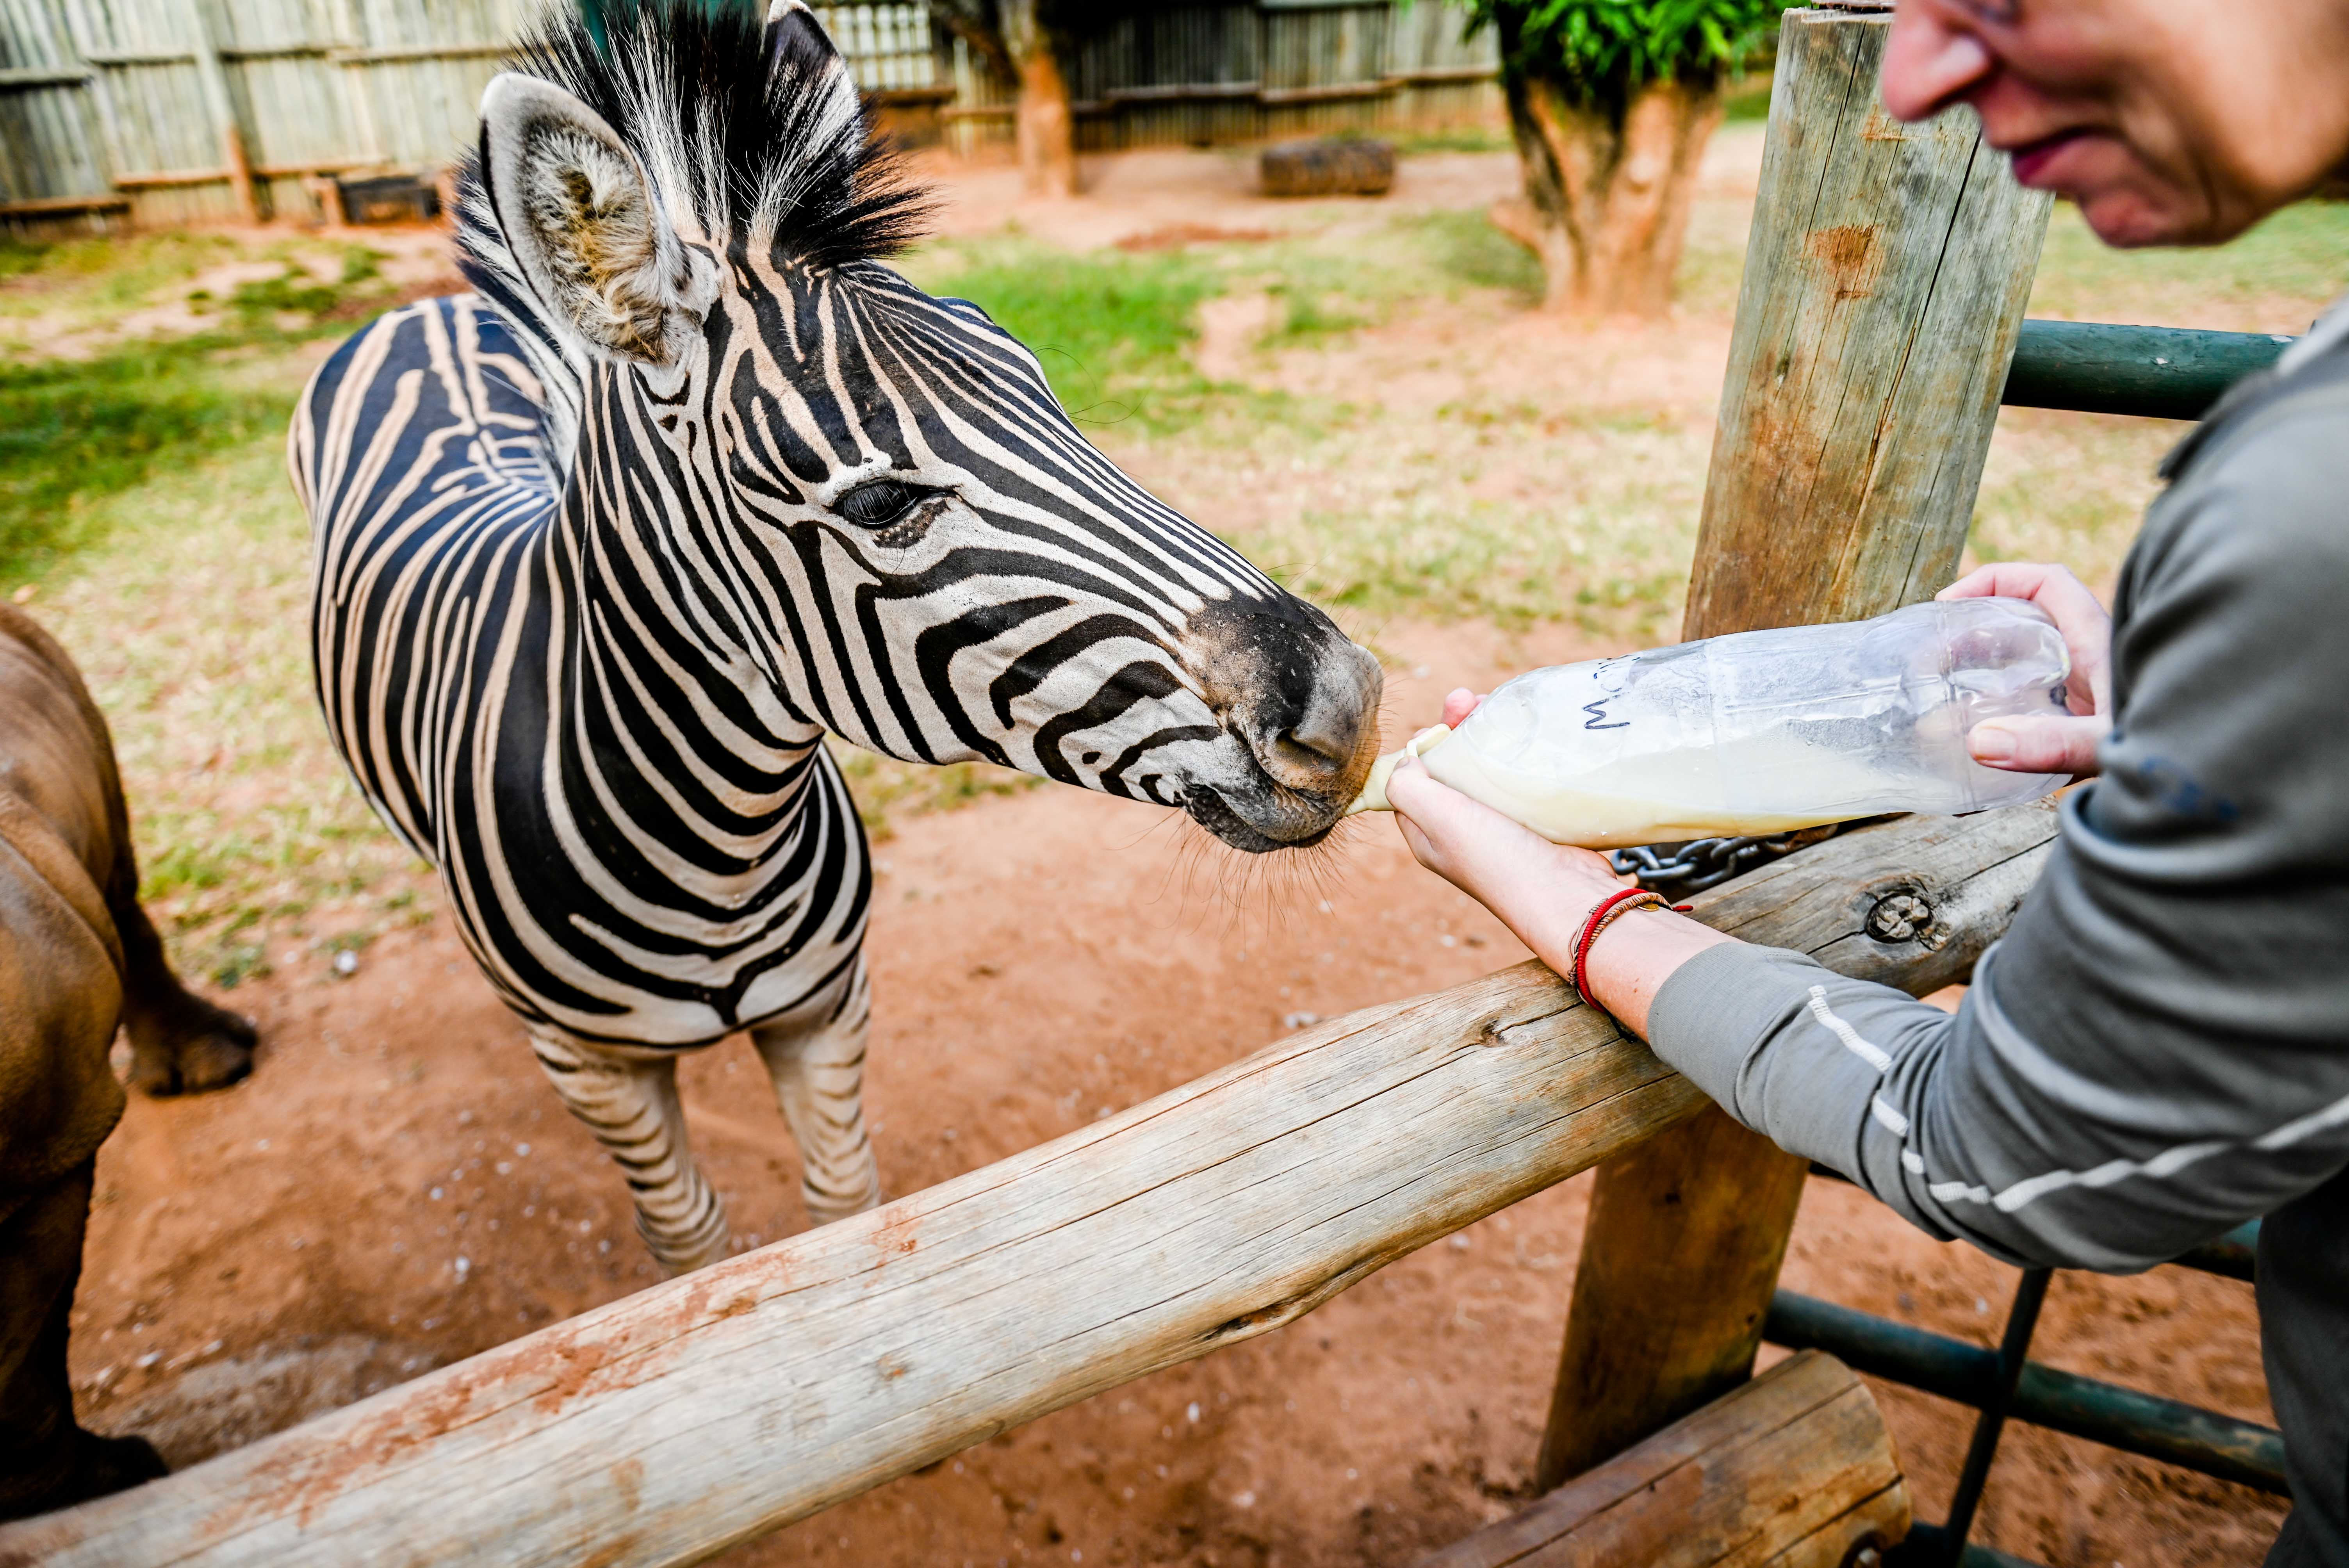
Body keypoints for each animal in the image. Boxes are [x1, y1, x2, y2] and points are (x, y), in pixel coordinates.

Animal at [290, 0, 1383, 1275]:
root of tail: (429, 307)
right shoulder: (597, 1066)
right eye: (878, 504)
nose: (1349, 708)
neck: (715, 841)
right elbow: (693, 1253)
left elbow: (844, 1213)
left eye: (1052, 396)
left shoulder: (827, 1007)